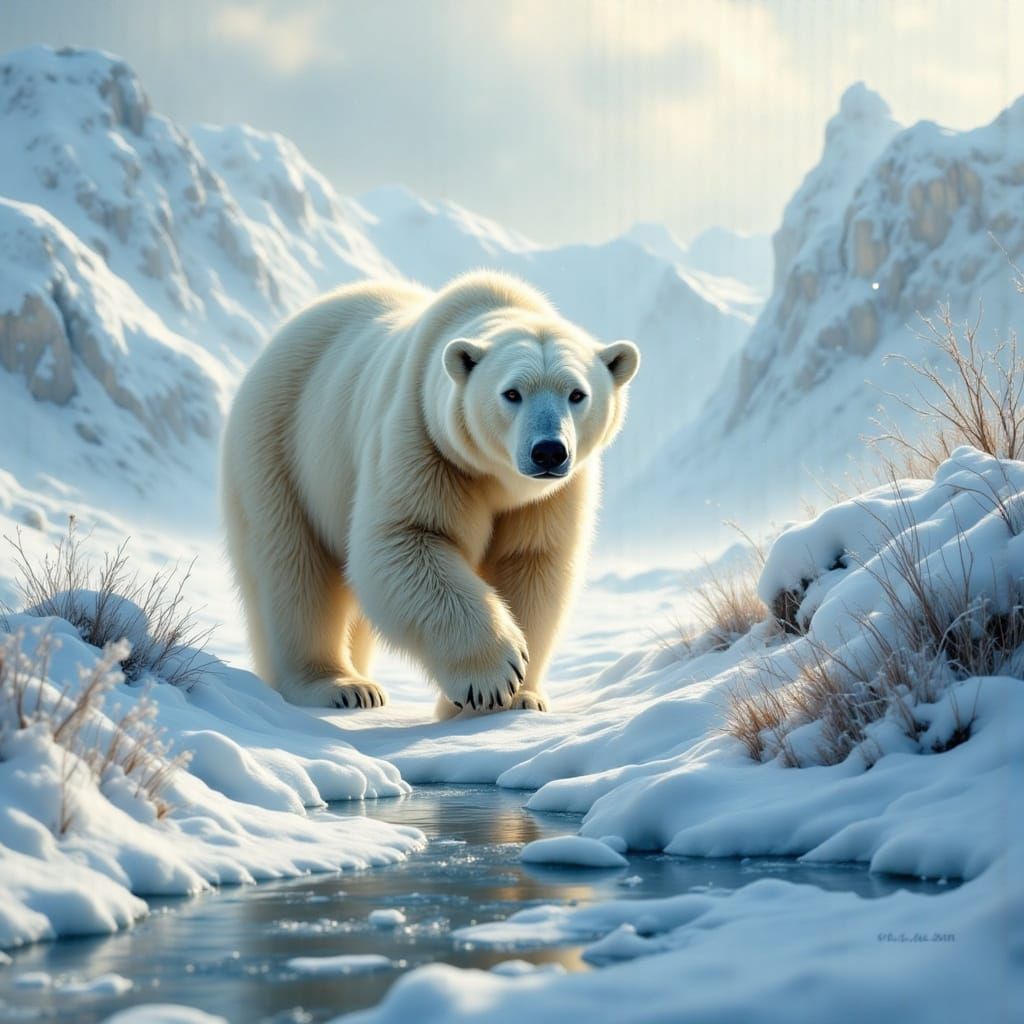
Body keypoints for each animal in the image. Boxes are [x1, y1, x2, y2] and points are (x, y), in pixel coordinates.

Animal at [220, 270, 639, 717]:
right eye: (512, 393)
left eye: (577, 394)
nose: (548, 451)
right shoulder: (425, 439)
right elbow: (406, 539)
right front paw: (493, 677)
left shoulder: (550, 496)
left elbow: (533, 563)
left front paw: (520, 697)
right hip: (281, 447)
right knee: (294, 572)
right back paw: (340, 686)